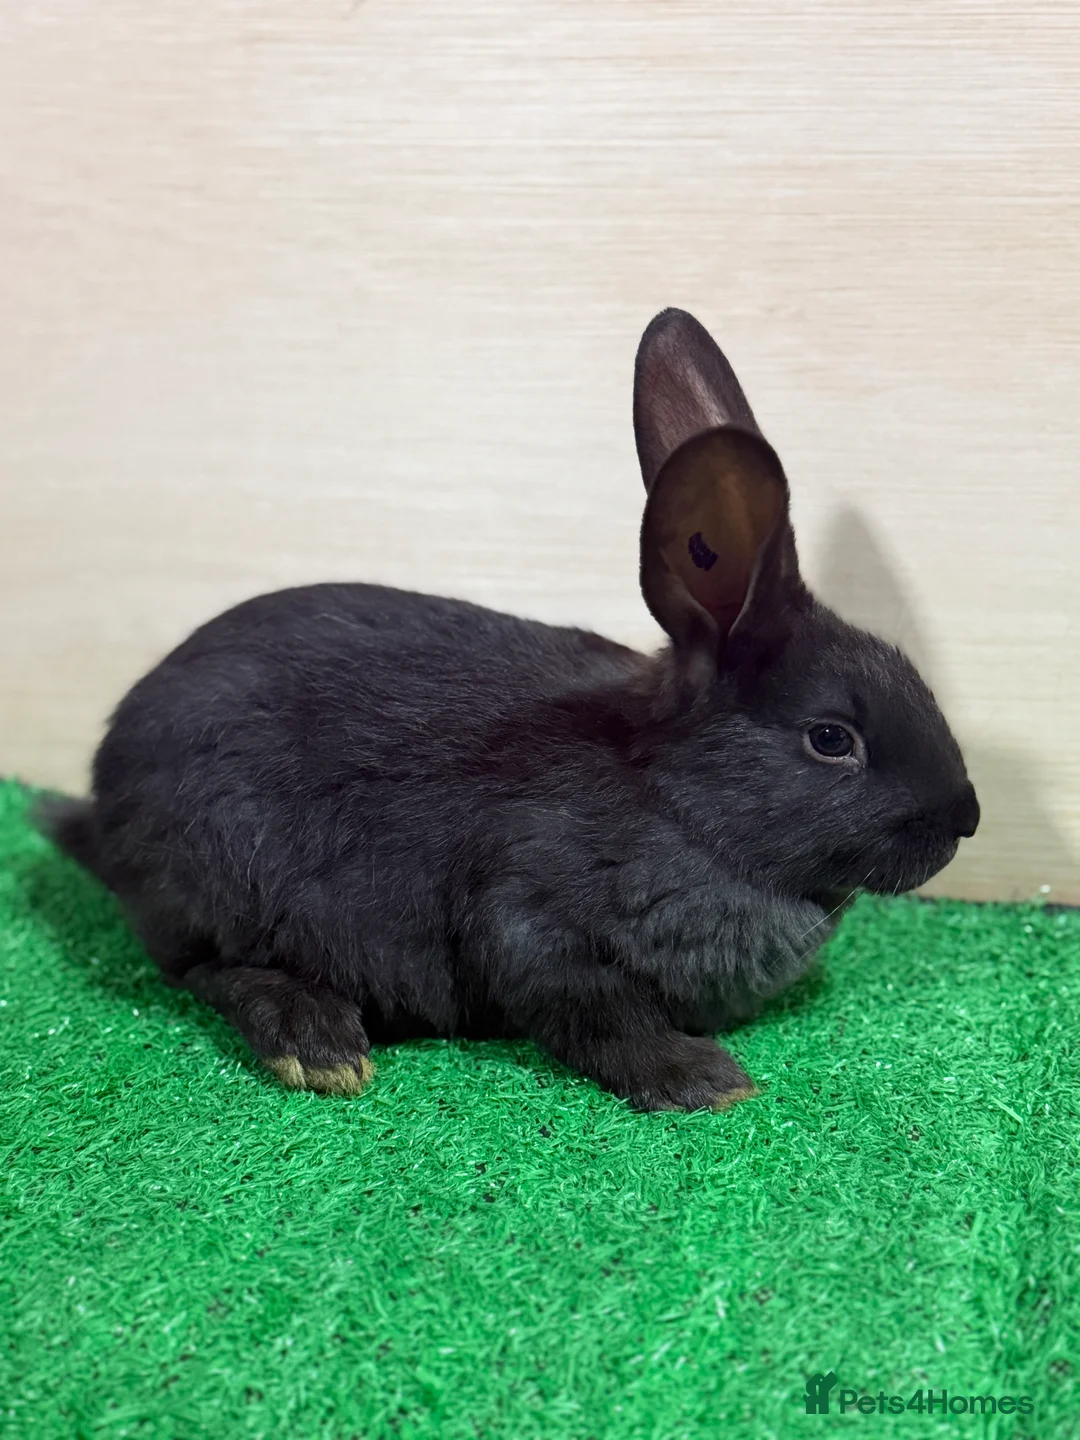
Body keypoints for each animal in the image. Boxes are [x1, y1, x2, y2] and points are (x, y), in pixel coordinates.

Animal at [42, 309, 979, 1112]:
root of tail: (106, 793)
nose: (965, 819)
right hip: (224, 874)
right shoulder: (527, 912)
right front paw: (704, 1079)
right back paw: (317, 1041)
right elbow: (591, 1009)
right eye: (831, 739)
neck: (676, 805)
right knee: (206, 968)